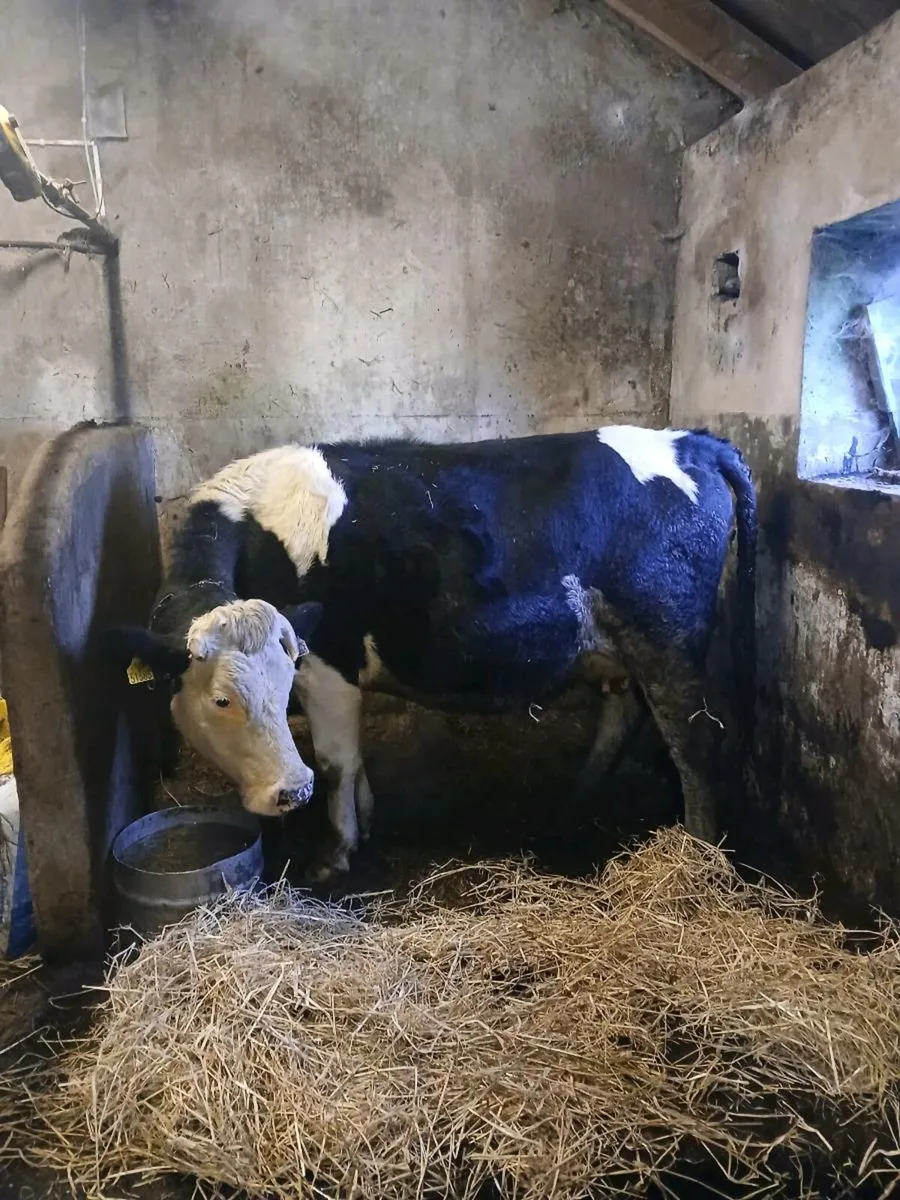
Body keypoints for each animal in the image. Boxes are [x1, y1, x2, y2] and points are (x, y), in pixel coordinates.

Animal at [106, 425, 757, 882]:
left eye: (282, 684)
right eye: (222, 700)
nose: (292, 792)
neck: (254, 524)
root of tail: (695, 441)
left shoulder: (329, 661)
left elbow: (337, 762)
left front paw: (335, 854)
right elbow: (355, 763)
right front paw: (366, 820)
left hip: (667, 637)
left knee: (694, 743)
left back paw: (699, 855)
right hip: (622, 650)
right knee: (623, 721)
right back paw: (567, 813)